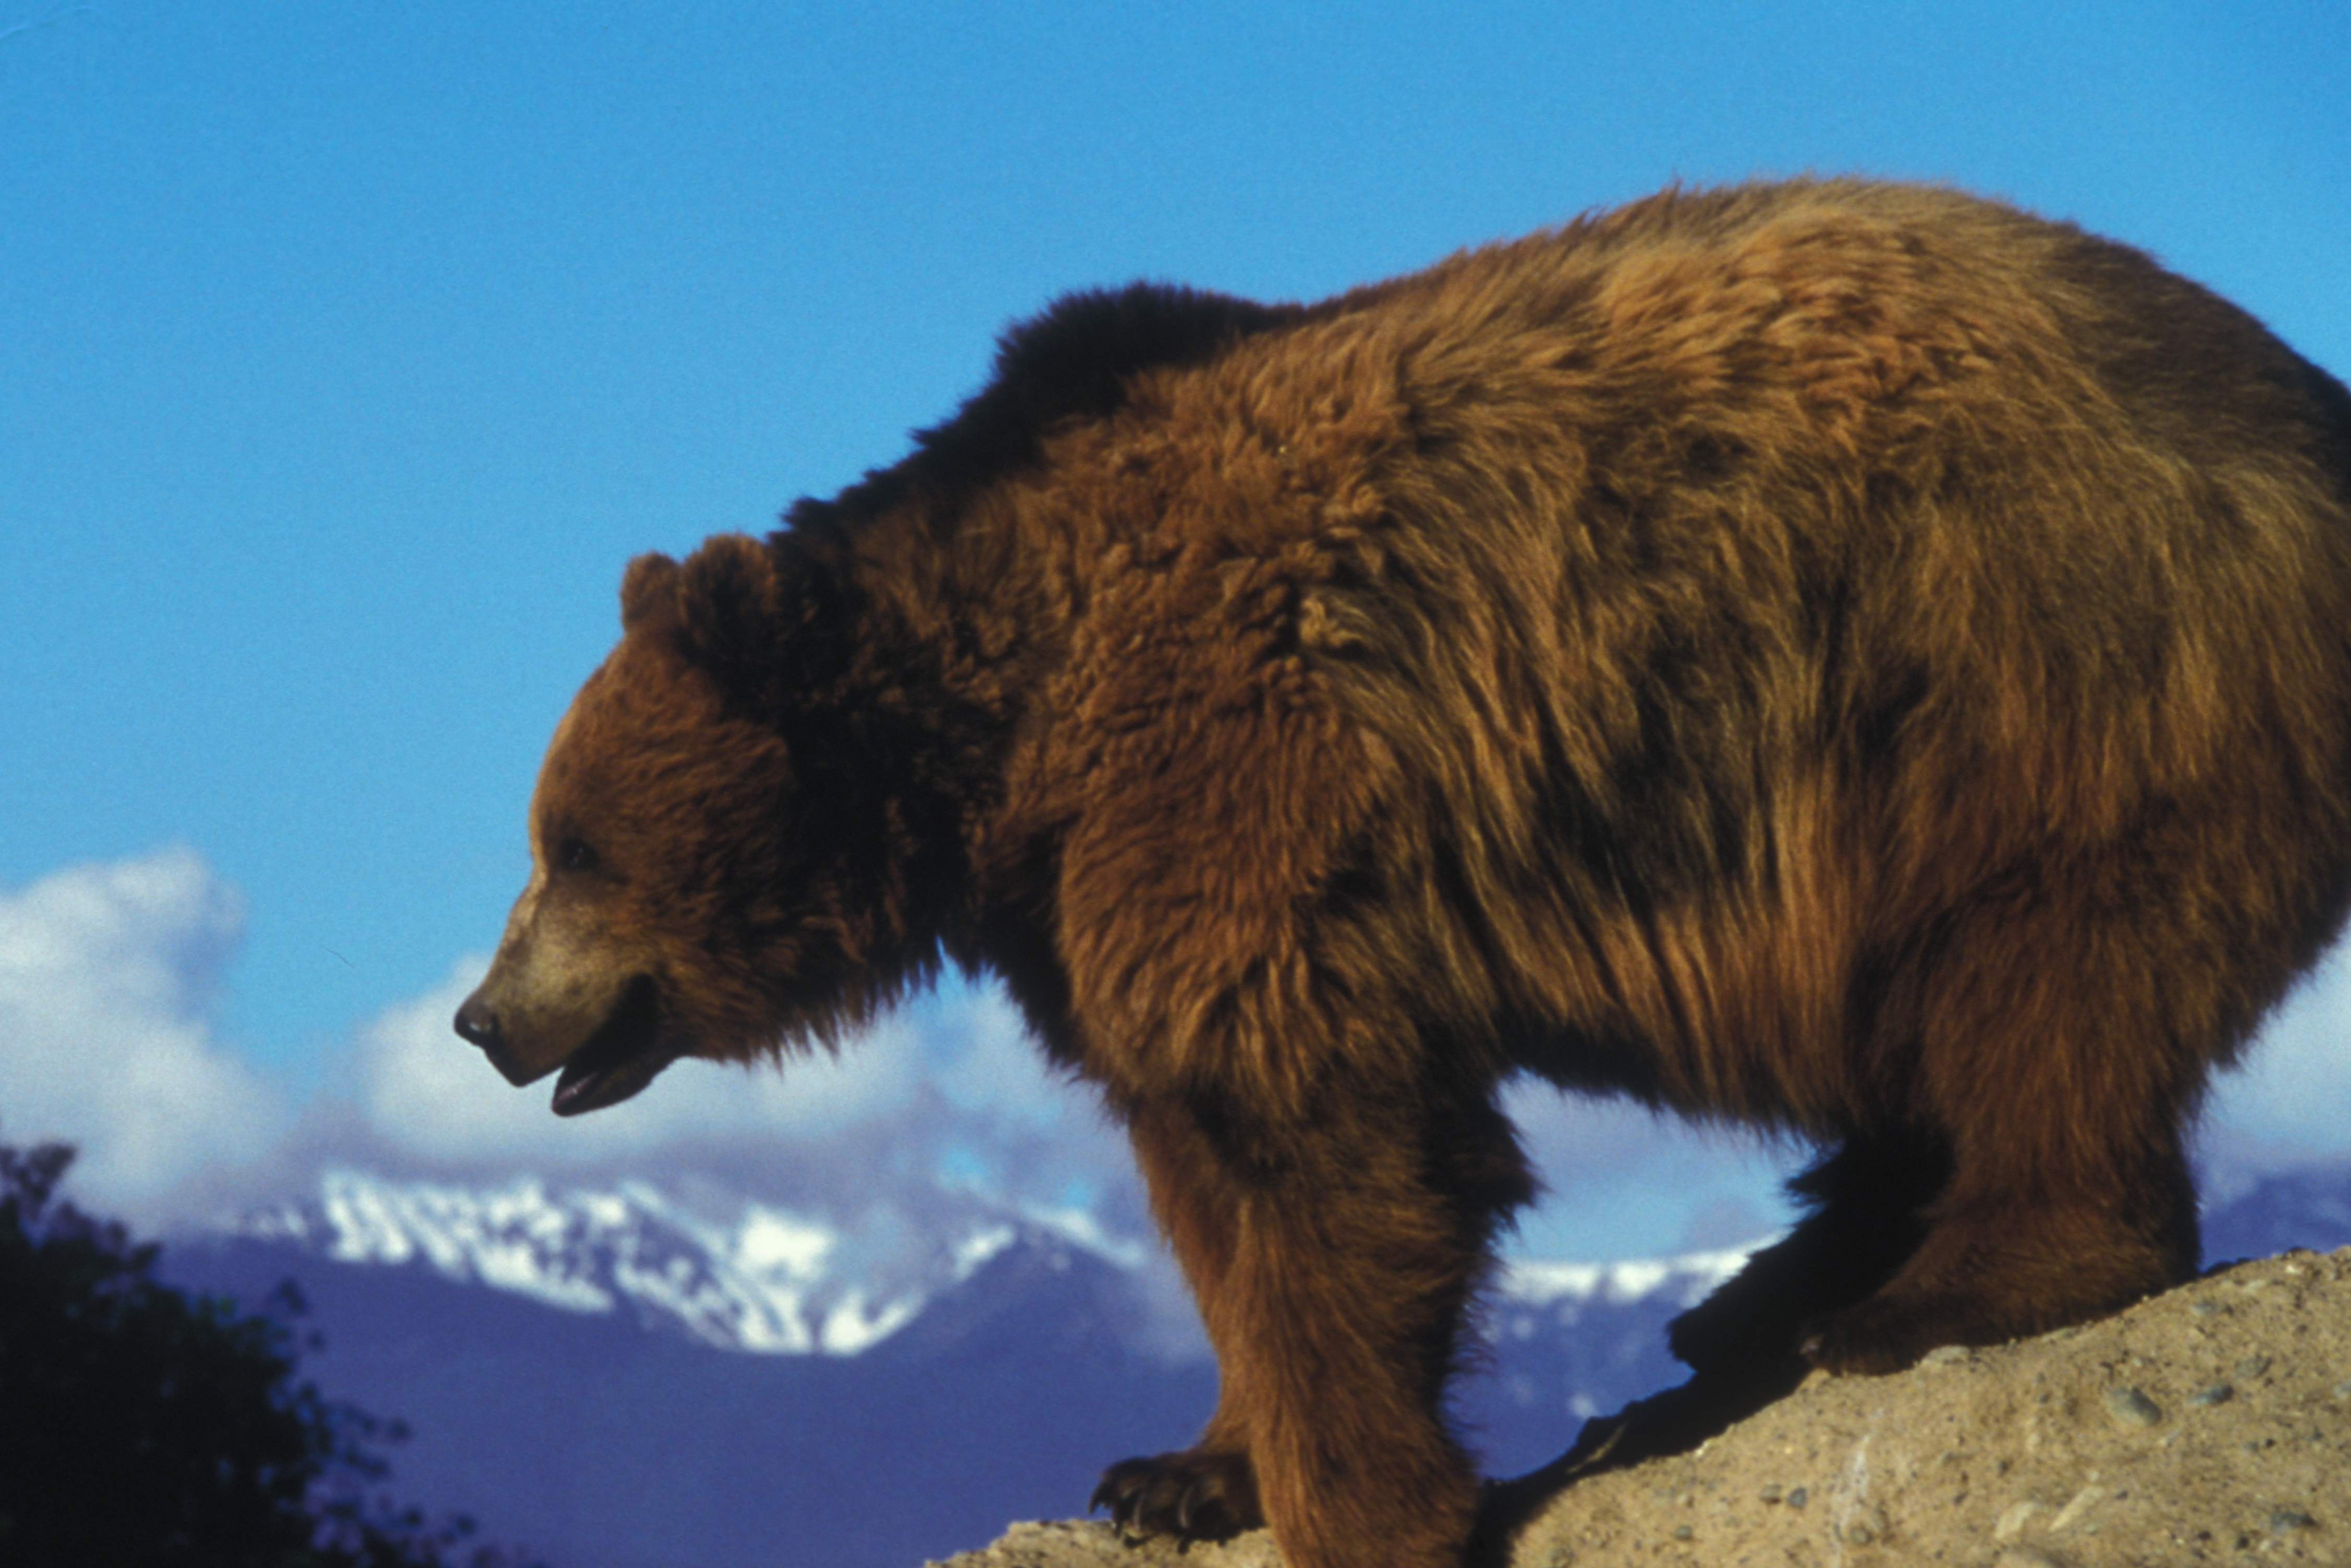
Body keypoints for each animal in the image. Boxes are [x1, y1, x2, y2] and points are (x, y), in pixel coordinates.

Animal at [453, 179, 2351, 1568]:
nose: (480, 1017)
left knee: (2041, 967)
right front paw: (1178, 1469)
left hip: (2024, 663)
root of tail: (2302, 410)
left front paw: (1361, 1505)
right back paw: (1754, 1296)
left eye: (568, 847)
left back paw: (1928, 1291)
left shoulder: (1237, 767)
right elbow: (1203, 1172)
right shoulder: (1090, 892)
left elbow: (1324, 1137)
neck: (998, 729)